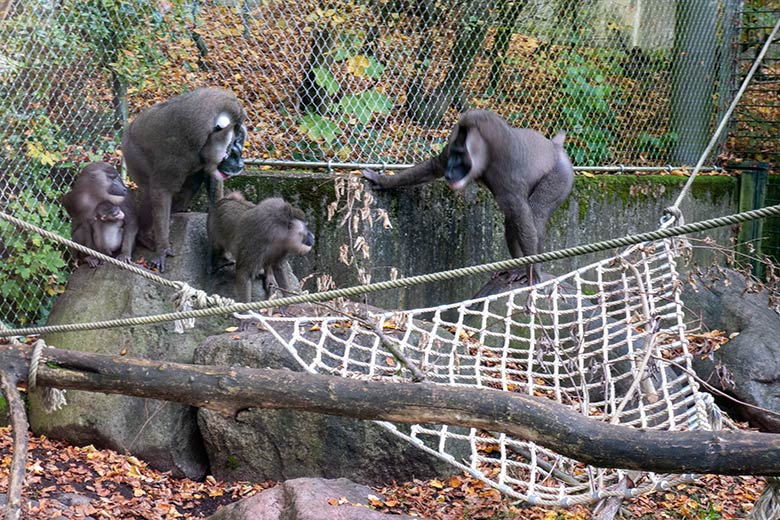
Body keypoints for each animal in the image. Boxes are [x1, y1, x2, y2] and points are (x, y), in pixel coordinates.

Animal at [122, 87, 247, 272]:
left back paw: (178, 210)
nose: (240, 164)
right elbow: (161, 190)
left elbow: (212, 183)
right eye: (232, 148)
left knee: (192, 183)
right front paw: (163, 250)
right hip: (134, 158)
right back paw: (144, 236)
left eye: (240, 144)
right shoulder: (179, 148)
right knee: (150, 194)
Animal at [364, 107, 572, 282]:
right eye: (453, 155)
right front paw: (381, 180)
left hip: (560, 177)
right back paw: (515, 268)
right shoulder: (450, 145)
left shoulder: (506, 167)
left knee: (535, 213)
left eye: (460, 156)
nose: (449, 173)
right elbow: (434, 166)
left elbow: (523, 216)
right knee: (512, 221)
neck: (485, 150)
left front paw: (533, 271)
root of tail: (555, 147)